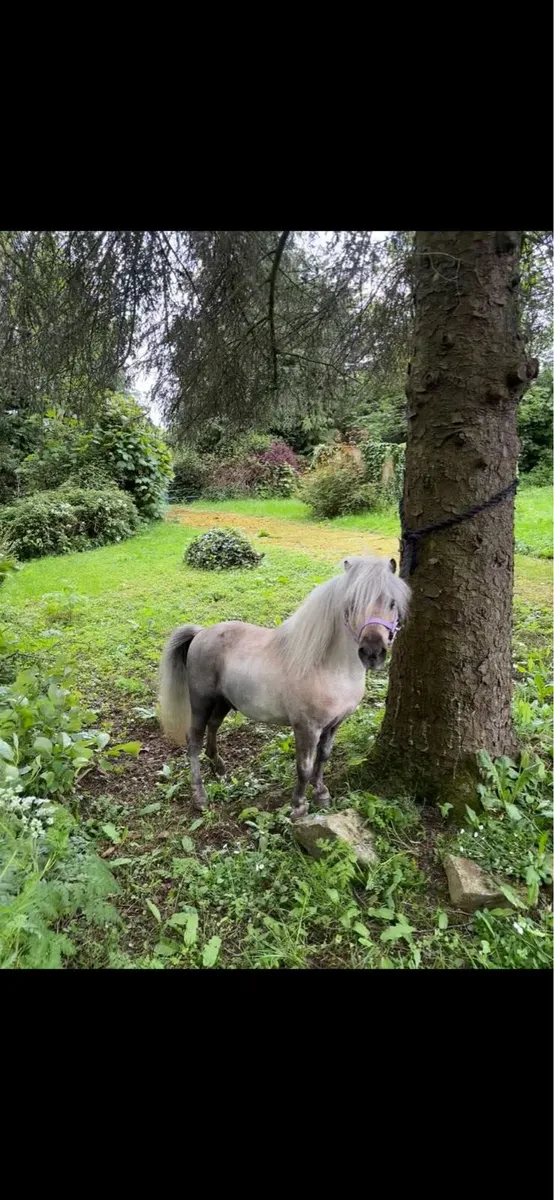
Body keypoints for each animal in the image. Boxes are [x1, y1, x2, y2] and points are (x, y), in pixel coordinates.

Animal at [159, 554, 410, 820]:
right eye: (351, 603)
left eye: (392, 603)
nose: (372, 652)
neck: (330, 667)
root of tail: (200, 633)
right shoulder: (307, 728)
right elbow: (304, 767)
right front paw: (298, 806)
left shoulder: (333, 725)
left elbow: (323, 757)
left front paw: (321, 793)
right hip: (201, 702)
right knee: (194, 740)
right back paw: (200, 796)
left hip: (223, 702)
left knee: (213, 727)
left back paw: (219, 769)